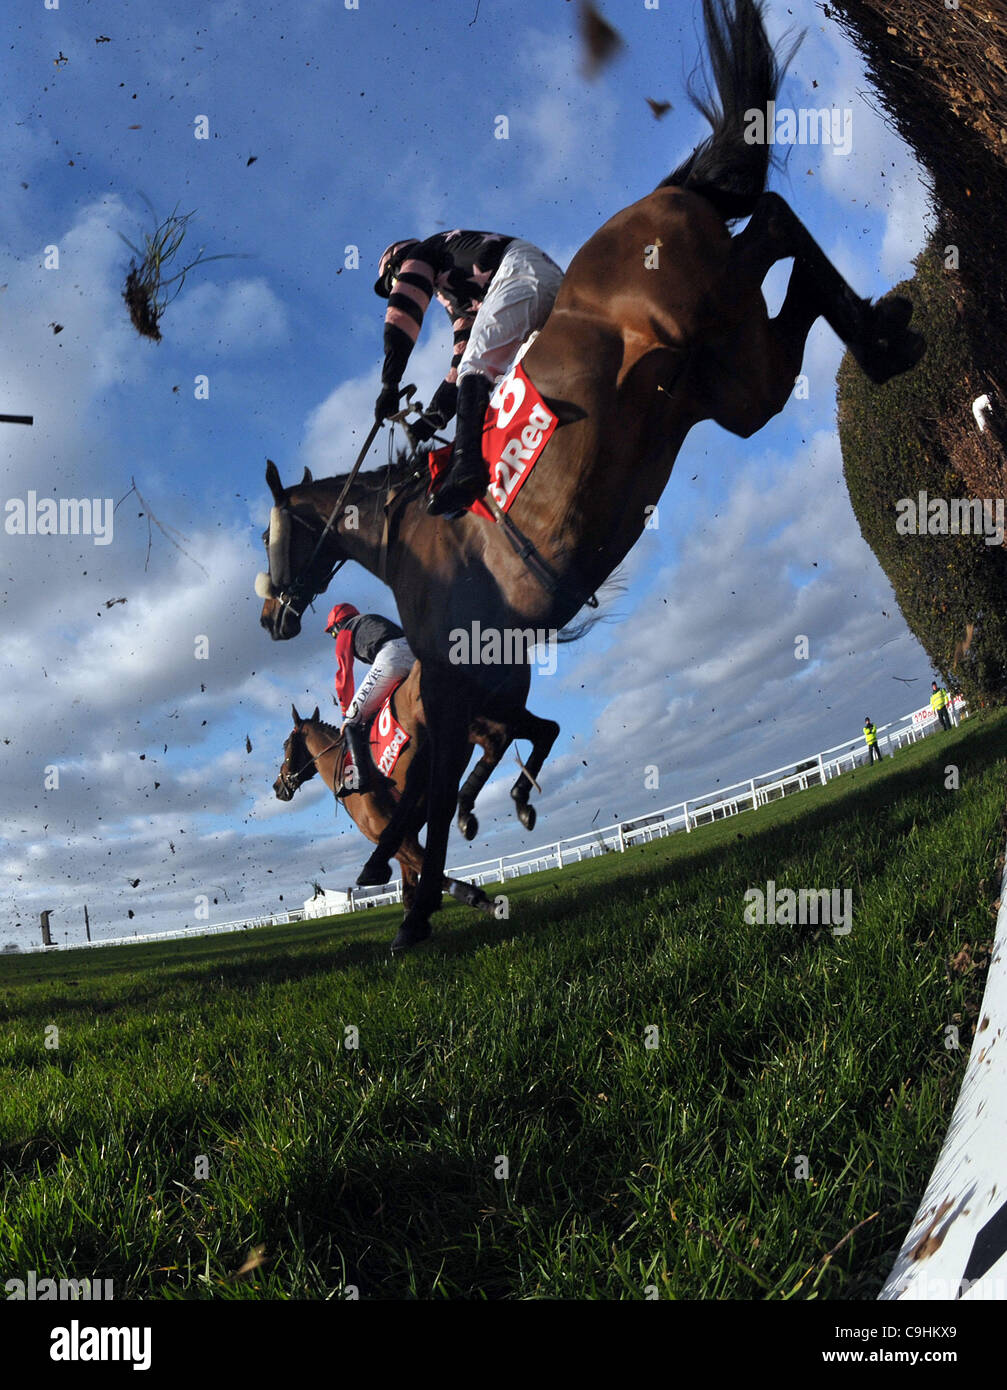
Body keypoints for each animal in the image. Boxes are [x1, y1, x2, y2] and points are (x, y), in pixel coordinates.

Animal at [257, 0, 917, 956]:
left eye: (267, 536)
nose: (270, 615)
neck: (401, 535)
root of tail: (659, 195)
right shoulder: (465, 686)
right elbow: (444, 793)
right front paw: (428, 880)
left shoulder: (447, 683)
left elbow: (423, 806)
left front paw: (410, 901)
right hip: (732, 379)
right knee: (780, 245)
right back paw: (880, 336)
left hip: (713, 330)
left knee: (775, 223)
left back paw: (874, 332)